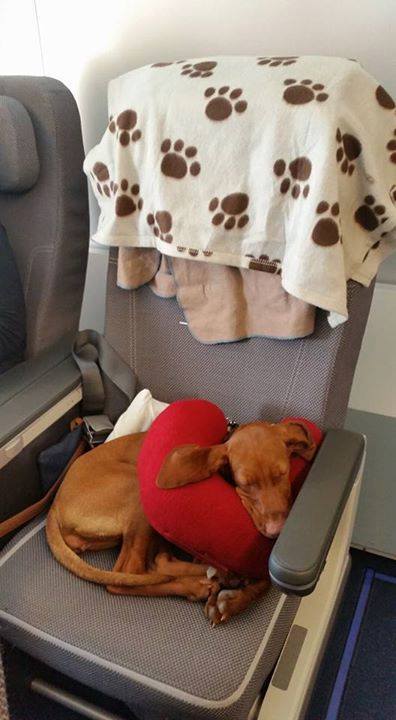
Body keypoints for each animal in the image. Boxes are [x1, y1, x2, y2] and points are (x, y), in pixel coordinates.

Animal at [46, 422, 316, 624]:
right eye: (246, 484)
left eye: (283, 474)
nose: (276, 532)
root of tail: (54, 506)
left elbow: (265, 580)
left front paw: (234, 601)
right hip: (138, 489)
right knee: (127, 575)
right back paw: (200, 583)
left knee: (156, 564)